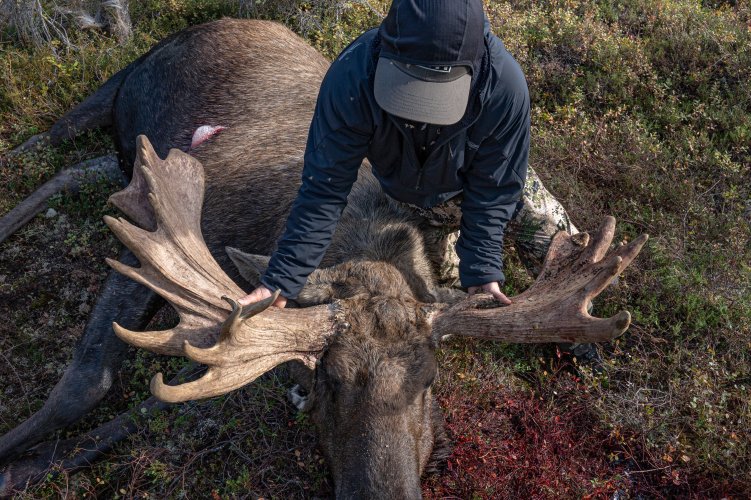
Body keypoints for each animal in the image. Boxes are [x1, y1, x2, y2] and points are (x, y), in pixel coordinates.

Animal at [0, 18, 647, 497]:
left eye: (430, 381)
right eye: (329, 380)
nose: (383, 493)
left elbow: (147, 405)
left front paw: (31, 466)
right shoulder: (155, 243)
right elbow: (85, 382)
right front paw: (11, 457)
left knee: (79, 170)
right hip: (113, 91)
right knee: (42, 145)